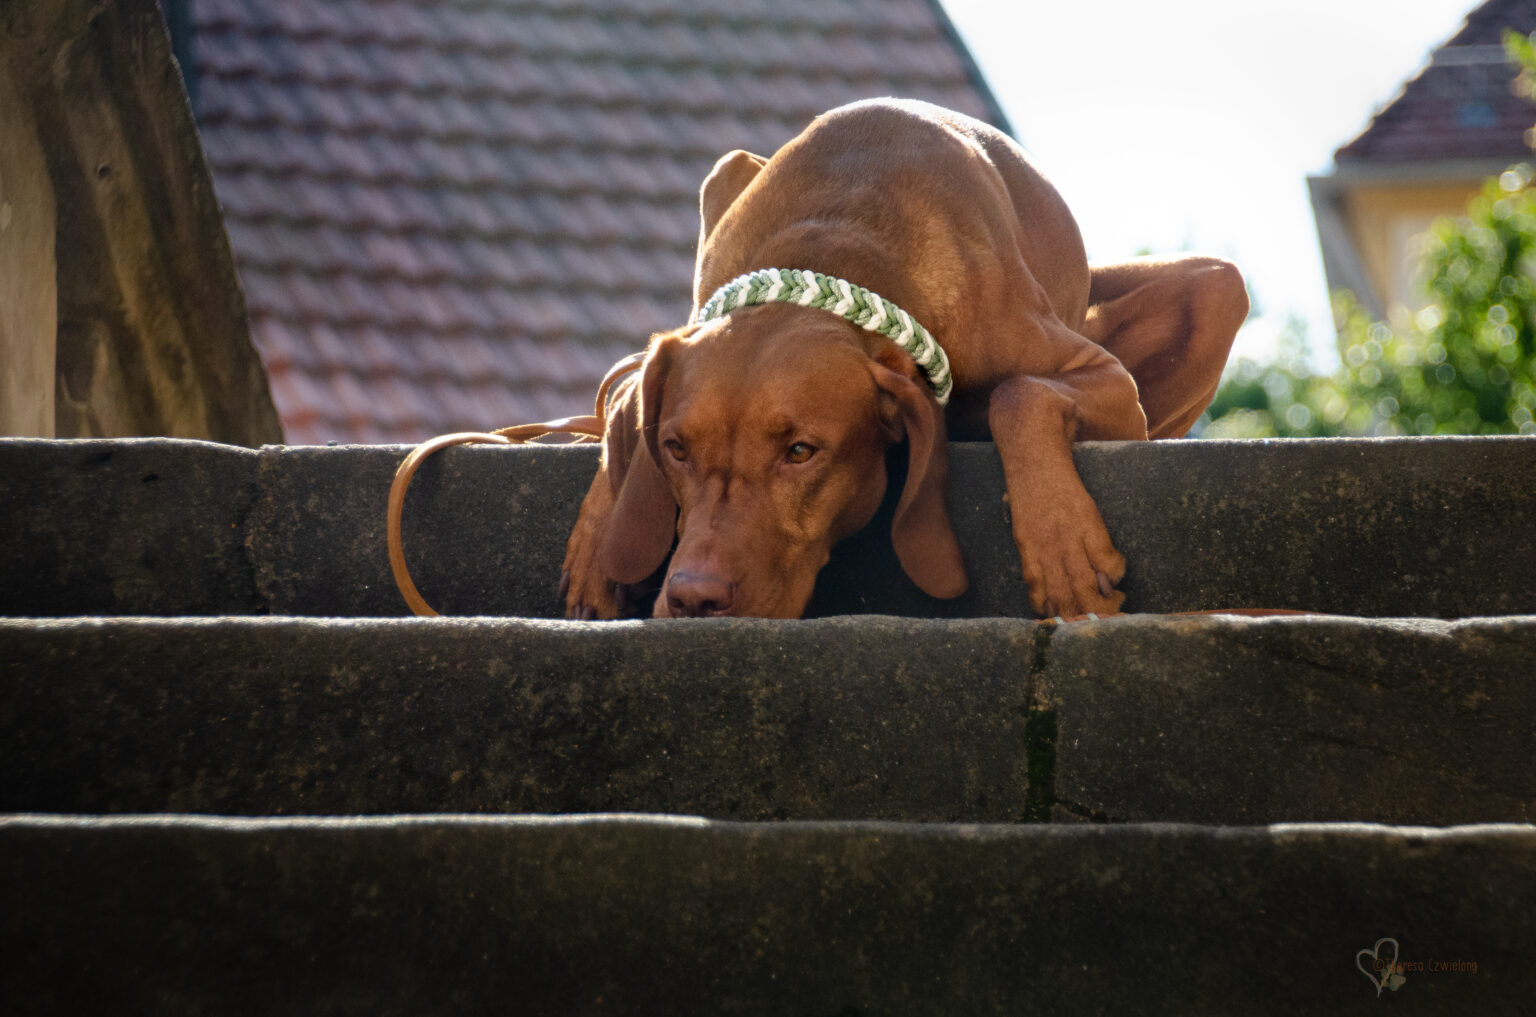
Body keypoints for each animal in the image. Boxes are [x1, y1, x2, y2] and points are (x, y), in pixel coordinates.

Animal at [562, 99, 1247, 620]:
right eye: (675, 450)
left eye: (801, 452)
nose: (694, 599)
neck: (837, 244)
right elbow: (625, 398)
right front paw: (601, 541)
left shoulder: (1106, 381)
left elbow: (1019, 391)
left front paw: (1063, 548)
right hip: (729, 168)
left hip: (1221, 289)